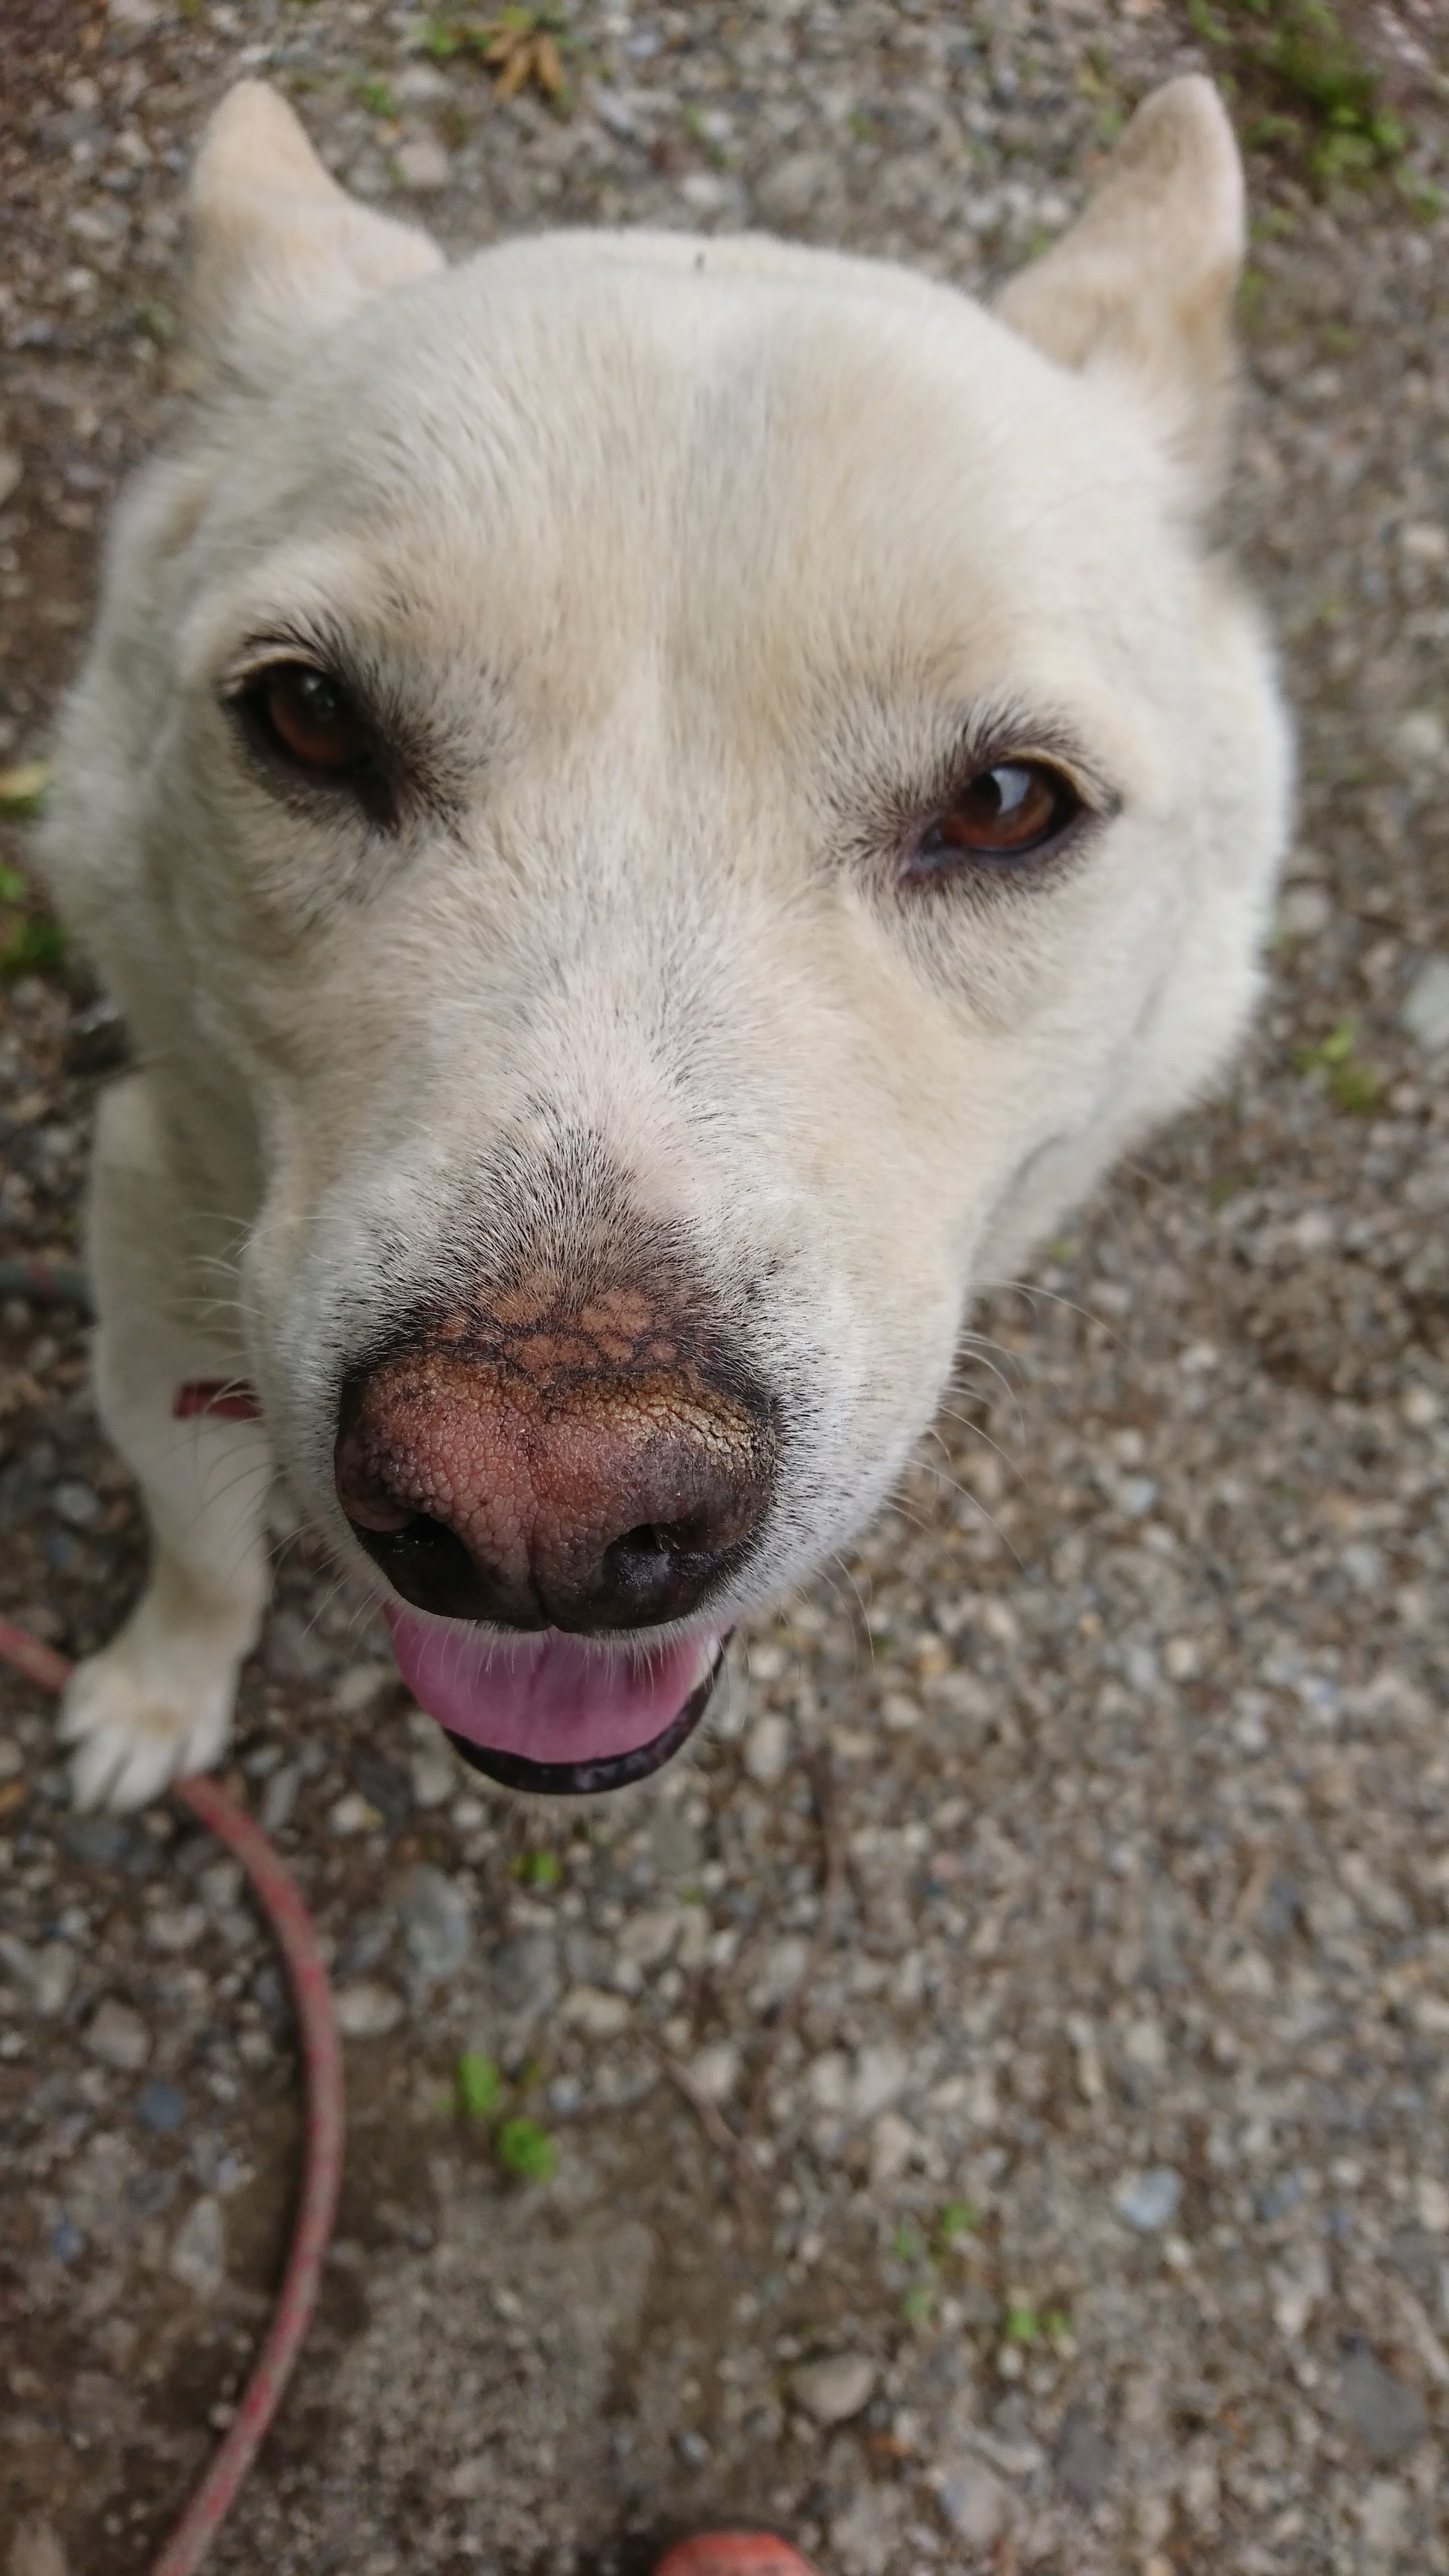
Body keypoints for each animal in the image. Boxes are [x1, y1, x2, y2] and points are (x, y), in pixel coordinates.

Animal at [41, 74, 1290, 1811]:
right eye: (310, 716)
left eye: (1001, 802)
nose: (535, 1507)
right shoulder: (152, 1285)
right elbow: (203, 1548)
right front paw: (158, 1698)